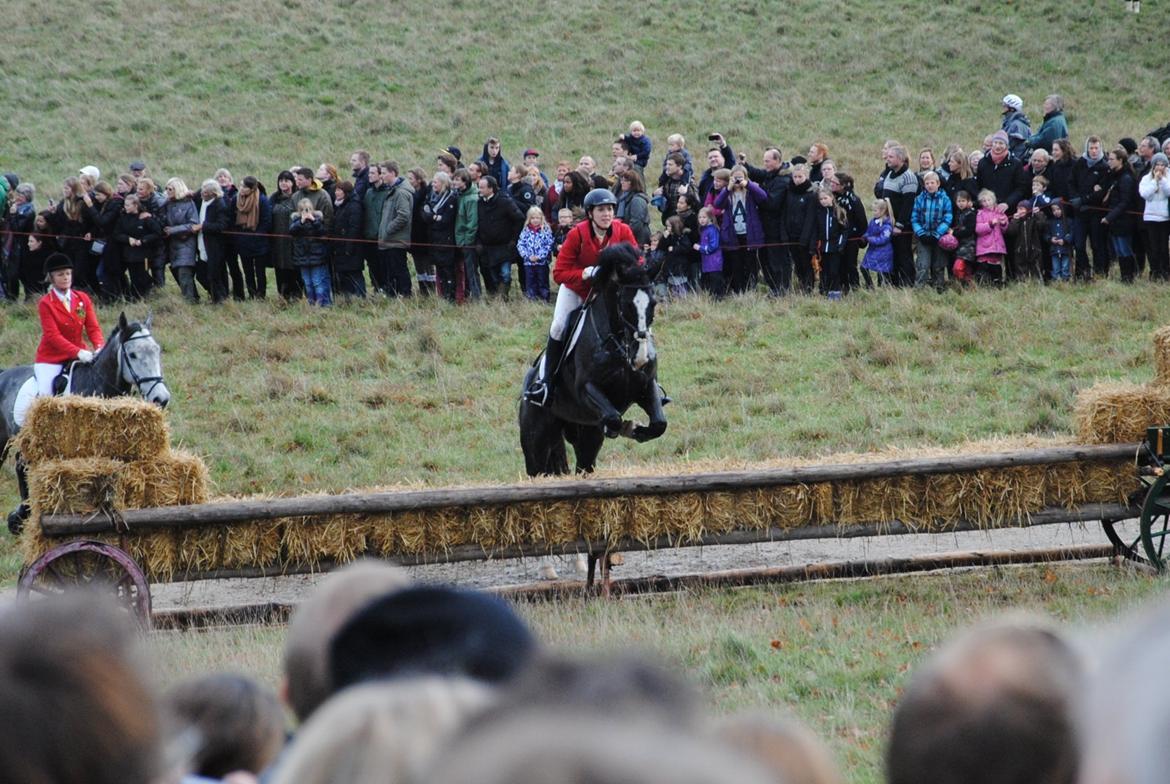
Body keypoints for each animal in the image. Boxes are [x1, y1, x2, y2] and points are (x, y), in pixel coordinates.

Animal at [521, 244, 669, 479]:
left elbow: (659, 424)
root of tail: (529, 383)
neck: (620, 345)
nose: (641, 358)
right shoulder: (585, 388)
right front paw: (625, 427)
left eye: (653, 304)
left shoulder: (646, 385)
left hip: (586, 435)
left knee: (584, 463)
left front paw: (636, 430)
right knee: (536, 466)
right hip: (536, 440)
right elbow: (613, 417)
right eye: (625, 304)